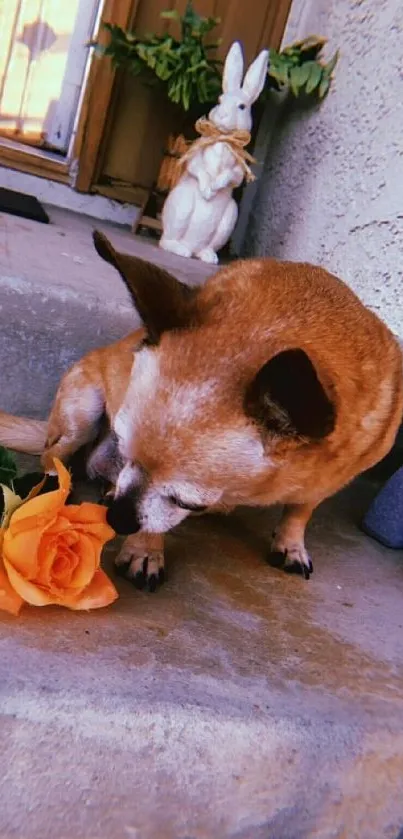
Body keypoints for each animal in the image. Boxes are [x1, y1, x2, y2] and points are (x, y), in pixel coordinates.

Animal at [0, 226, 403, 588]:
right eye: (123, 449)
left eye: (189, 502)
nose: (116, 518)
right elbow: (153, 519)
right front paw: (145, 550)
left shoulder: (330, 478)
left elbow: (302, 509)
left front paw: (291, 543)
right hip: (80, 413)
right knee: (54, 456)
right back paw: (58, 484)